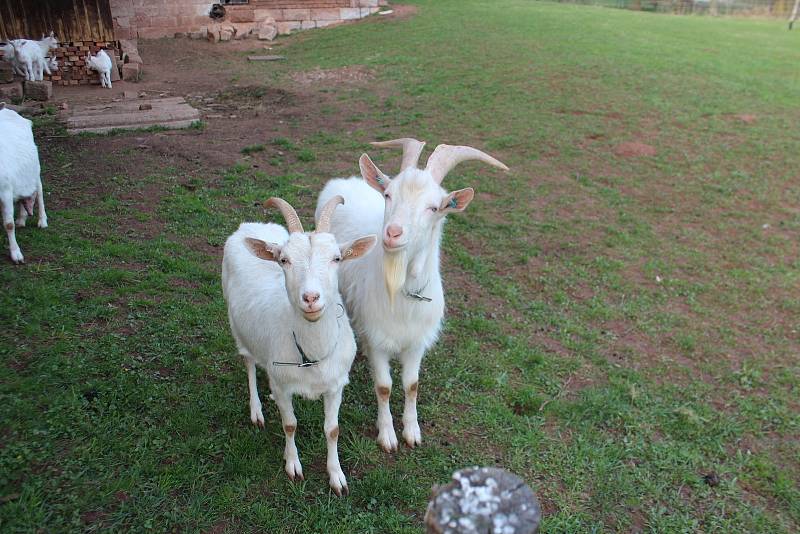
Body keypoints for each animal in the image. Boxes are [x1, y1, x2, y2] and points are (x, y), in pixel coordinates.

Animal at [0, 102, 47, 264]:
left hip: (36, 169)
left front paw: (16, 255)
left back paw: (42, 221)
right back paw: (21, 218)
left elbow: (8, 224)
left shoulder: (5, 191)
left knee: (39, 192)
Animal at [222, 196, 378, 494]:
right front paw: (293, 465)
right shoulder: (283, 385)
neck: (311, 354)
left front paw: (337, 476)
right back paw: (256, 409)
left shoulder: (336, 384)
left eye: (337, 258)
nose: (311, 298)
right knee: (249, 363)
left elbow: (332, 429)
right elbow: (290, 424)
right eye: (284, 260)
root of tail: (248, 225)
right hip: (237, 327)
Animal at [314, 138, 506, 452]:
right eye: (388, 194)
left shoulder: (417, 342)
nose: (393, 233)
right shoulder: (378, 339)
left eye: (435, 207)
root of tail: (343, 181)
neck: (404, 295)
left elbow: (411, 384)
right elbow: (384, 386)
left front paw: (412, 431)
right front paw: (388, 435)